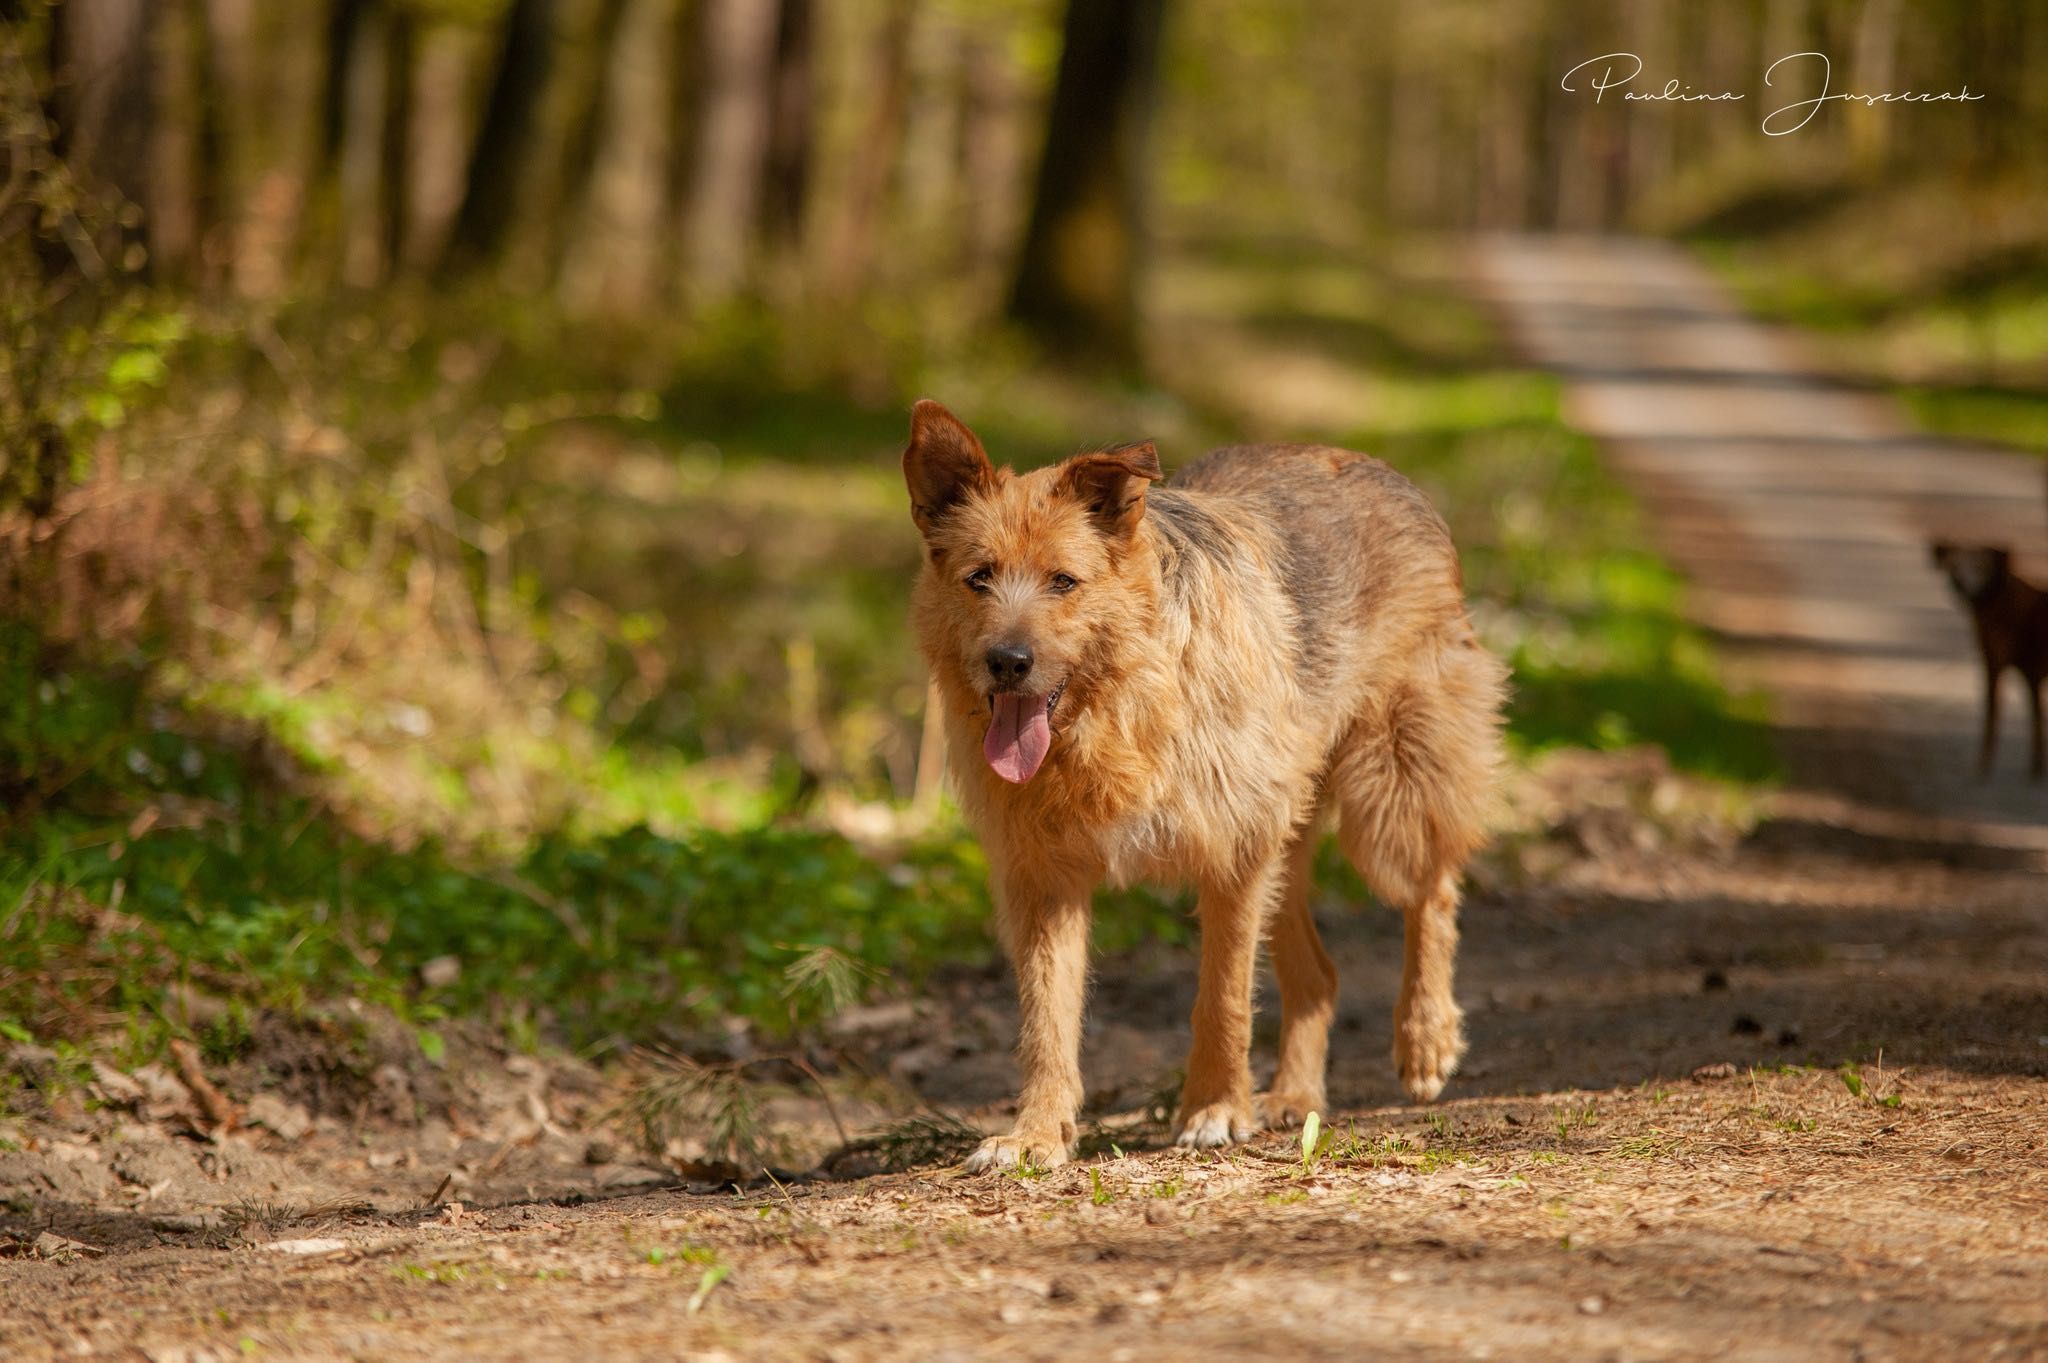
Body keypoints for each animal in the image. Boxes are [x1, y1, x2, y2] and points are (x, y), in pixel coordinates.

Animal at [905, 394, 1515, 1170]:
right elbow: (1045, 1018)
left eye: (1064, 581)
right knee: (1318, 975)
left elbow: (1221, 995)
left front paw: (1217, 1109)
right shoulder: (1042, 878)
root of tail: (1380, 467)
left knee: (1432, 891)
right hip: (1290, 837)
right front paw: (1036, 1133)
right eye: (978, 577)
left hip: (1388, 795)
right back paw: (1295, 1096)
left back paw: (1425, 1038)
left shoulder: (1234, 855)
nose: (1007, 662)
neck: (1119, 705)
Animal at [1925, 540, 2039, 773]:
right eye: (1954, 567)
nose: (1962, 585)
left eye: (1980, 567)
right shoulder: (2008, 665)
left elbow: (1994, 715)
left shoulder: (2000, 663)